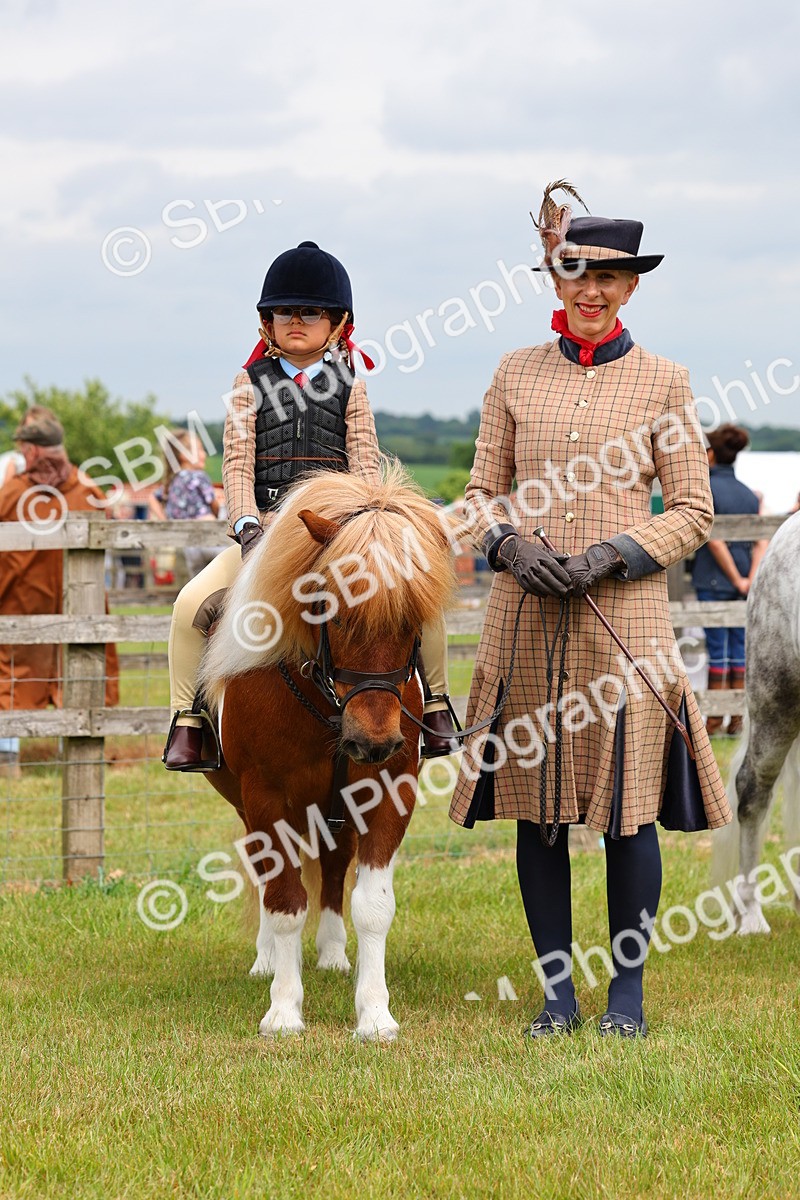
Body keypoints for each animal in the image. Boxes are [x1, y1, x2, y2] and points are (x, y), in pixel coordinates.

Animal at [198, 463, 455, 1038]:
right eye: (333, 614)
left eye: (413, 623)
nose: (372, 742)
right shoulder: (266, 797)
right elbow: (284, 901)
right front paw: (283, 1010)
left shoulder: (389, 790)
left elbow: (373, 904)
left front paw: (375, 1014)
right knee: (269, 875)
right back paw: (268, 959)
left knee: (336, 865)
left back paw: (335, 954)